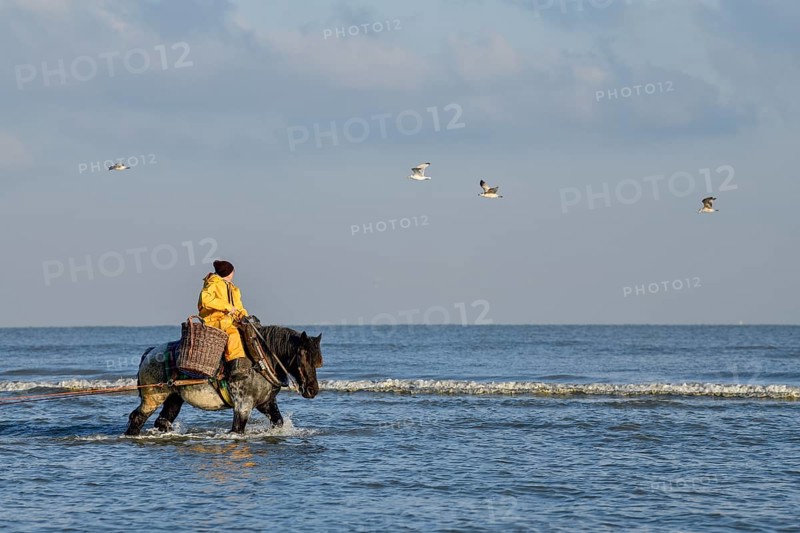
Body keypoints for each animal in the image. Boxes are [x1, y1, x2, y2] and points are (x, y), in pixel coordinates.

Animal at [125, 323, 322, 436]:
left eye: (317, 360)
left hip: (174, 398)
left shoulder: (266, 403)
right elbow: (237, 429)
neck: (260, 360)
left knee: (162, 421)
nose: (312, 389)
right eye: (303, 356)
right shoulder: (243, 405)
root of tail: (150, 353)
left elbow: (278, 421)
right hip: (153, 397)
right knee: (137, 418)